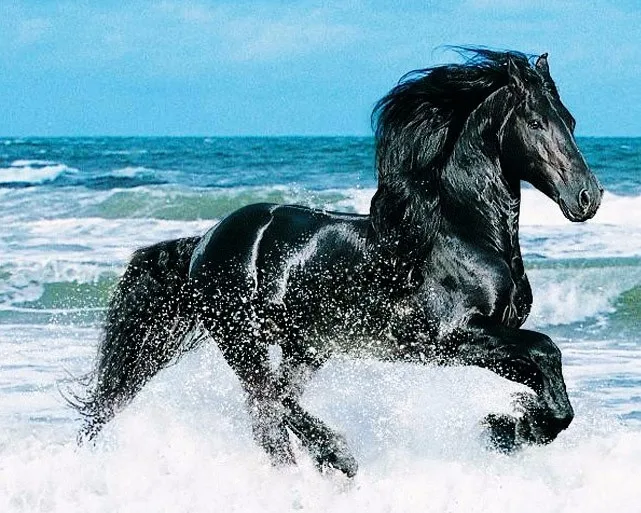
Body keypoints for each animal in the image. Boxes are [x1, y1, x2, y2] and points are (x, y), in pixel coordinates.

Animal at [73, 49, 602, 477]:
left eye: (572, 120)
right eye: (536, 122)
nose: (587, 197)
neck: (463, 233)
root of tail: (205, 241)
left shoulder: (491, 339)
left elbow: (548, 380)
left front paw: (510, 428)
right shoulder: (456, 337)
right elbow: (547, 351)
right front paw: (502, 429)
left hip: (306, 347)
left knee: (273, 406)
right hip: (243, 339)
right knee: (269, 400)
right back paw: (335, 457)